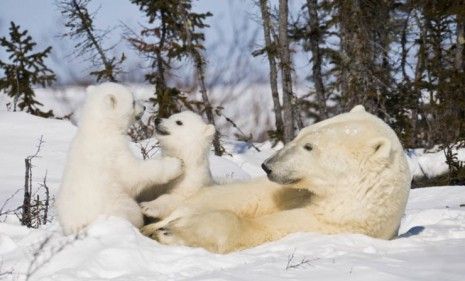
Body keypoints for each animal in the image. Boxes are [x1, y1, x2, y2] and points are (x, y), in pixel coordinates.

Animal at [141, 105, 410, 254]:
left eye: (309, 147)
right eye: (301, 133)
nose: (267, 166)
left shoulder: (331, 224)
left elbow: (262, 229)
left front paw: (174, 231)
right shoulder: (286, 192)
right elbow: (244, 197)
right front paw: (163, 221)